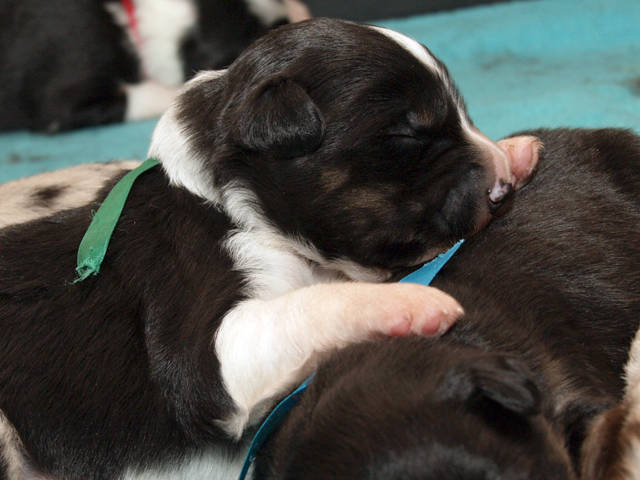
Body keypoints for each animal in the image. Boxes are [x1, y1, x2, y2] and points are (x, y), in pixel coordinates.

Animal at [0, 19, 539, 479]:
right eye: (408, 134)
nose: (499, 182)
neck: (233, 209)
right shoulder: (201, 335)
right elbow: (310, 306)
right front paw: (411, 301)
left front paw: (516, 152)